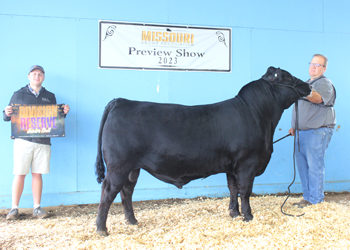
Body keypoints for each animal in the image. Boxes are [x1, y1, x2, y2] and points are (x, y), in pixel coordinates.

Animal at [94, 66, 310, 234]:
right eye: (287, 76)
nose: (308, 85)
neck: (259, 115)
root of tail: (121, 101)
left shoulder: (231, 167)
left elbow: (233, 189)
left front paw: (234, 213)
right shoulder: (247, 165)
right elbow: (245, 191)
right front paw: (248, 216)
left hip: (133, 168)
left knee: (126, 191)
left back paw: (132, 221)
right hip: (119, 165)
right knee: (108, 191)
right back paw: (102, 229)